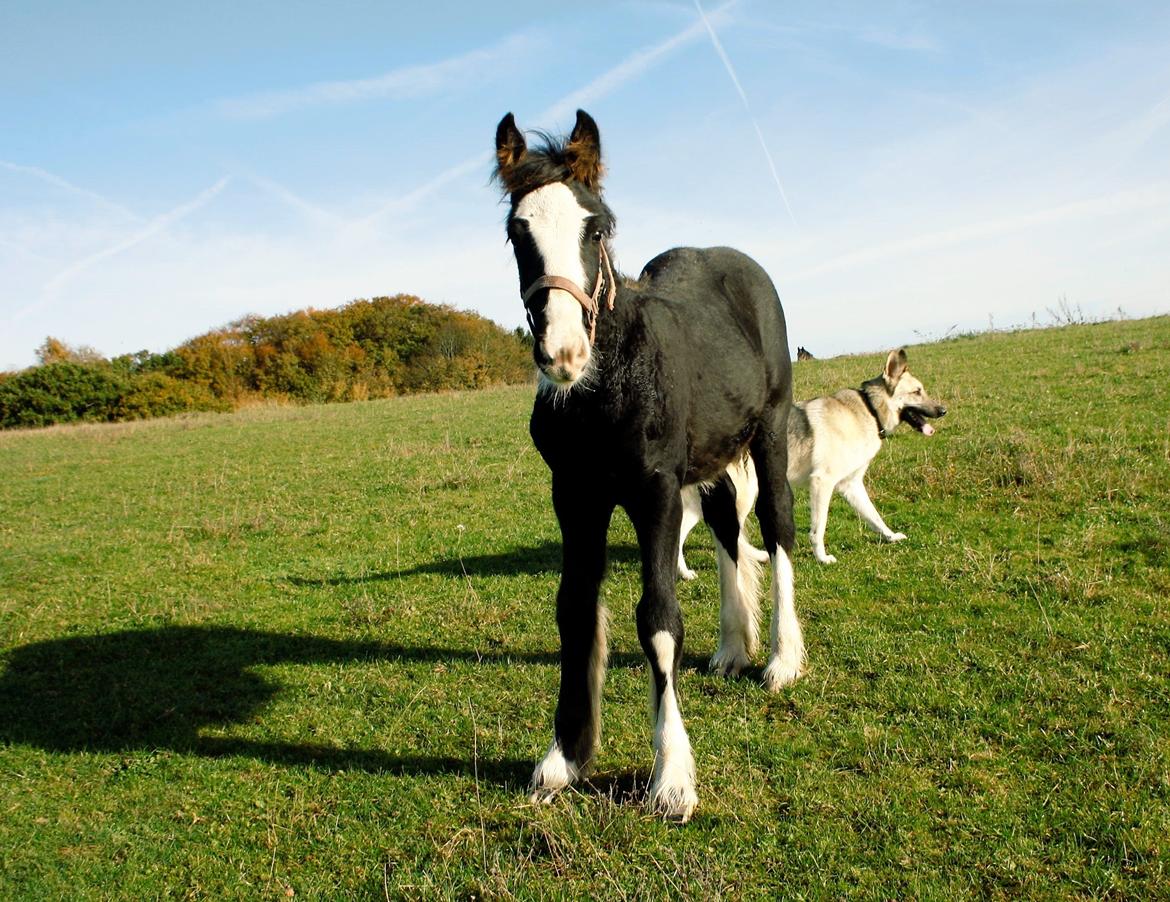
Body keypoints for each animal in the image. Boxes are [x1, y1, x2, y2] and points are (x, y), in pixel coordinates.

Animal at [493, 109, 804, 823]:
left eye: (597, 227)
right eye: (517, 231)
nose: (563, 353)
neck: (607, 386)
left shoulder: (653, 490)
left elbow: (659, 620)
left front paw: (672, 778)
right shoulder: (574, 494)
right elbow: (575, 610)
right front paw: (565, 756)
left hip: (769, 429)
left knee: (777, 526)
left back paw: (780, 659)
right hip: (710, 456)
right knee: (728, 527)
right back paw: (731, 648)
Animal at [683, 346, 945, 570]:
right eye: (917, 392)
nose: (944, 411)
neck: (869, 410)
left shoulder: (851, 486)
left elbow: (874, 517)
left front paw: (891, 536)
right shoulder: (822, 483)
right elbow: (819, 528)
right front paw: (822, 558)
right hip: (743, 496)